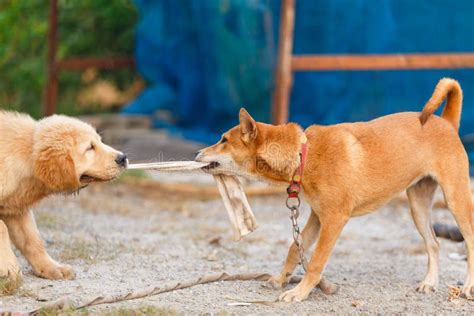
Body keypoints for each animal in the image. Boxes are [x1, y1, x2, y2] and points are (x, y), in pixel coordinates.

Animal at [0, 112, 126, 292]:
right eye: (89, 148)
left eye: (100, 141)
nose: (123, 158)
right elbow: (2, 228)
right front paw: (9, 267)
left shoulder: (16, 207)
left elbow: (33, 239)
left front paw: (51, 268)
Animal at [194, 78, 472, 302]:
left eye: (223, 140)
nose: (197, 153)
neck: (304, 154)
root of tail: (447, 122)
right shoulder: (317, 218)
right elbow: (294, 249)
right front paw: (281, 279)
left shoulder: (334, 220)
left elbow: (315, 261)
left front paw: (299, 293)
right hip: (418, 206)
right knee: (434, 244)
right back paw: (429, 283)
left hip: (456, 200)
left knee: (468, 240)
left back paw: (467, 287)